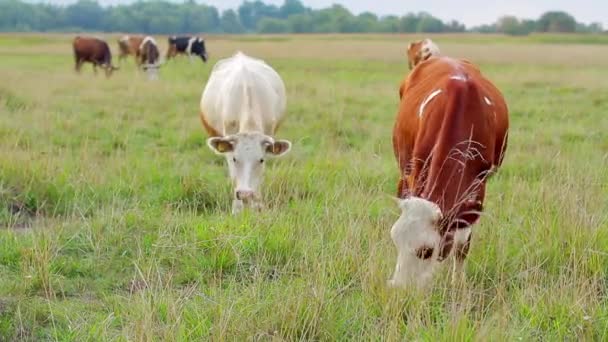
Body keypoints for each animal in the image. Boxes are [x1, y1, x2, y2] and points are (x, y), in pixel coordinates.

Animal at [200, 51, 292, 214]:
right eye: (235, 159)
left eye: (261, 160)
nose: (245, 193)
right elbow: (234, 176)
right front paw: (237, 209)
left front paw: (257, 206)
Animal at [390, 55, 508, 288]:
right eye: (395, 240)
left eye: (426, 251)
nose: (398, 288)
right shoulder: (417, 173)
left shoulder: (476, 191)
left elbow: (462, 245)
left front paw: (457, 283)